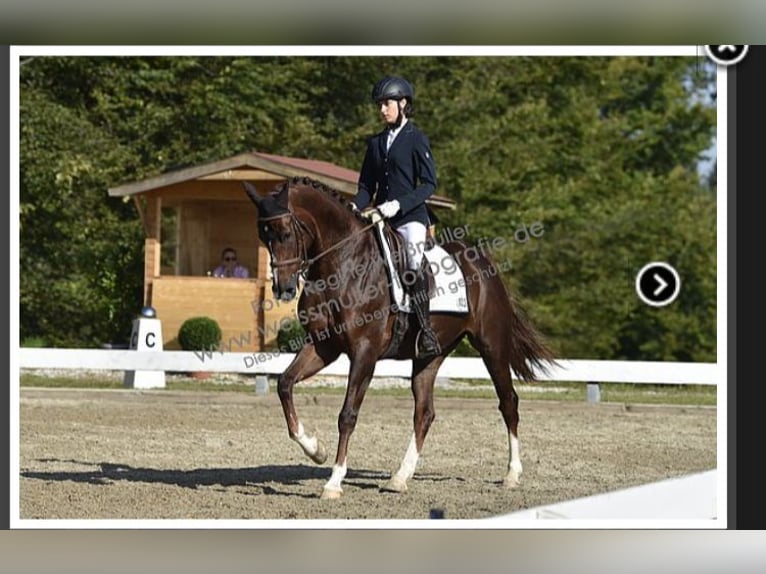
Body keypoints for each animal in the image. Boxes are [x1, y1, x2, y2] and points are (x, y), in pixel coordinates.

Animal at [243, 177, 554, 500]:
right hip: (429, 356)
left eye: (285, 233)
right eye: (263, 236)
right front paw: (315, 449)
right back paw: (400, 477)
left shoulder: (364, 352)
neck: (342, 263)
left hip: (492, 346)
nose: (283, 289)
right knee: (424, 413)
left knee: (508, 401)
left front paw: (333, 482)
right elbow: (284, 384)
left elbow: (347, 414)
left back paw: (512, 474)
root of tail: (482, 261)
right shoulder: (323, 346)